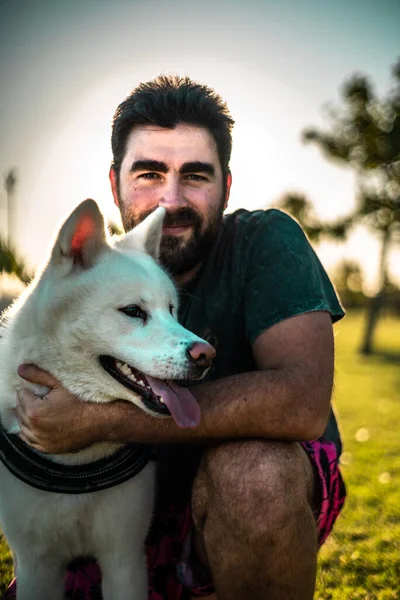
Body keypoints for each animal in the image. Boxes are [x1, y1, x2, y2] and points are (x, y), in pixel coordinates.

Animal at [0, 202, 216, 600]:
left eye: (172, 310)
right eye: (132, 311)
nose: (206, 355)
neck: (77, 463)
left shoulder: (125, 557)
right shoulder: (37, 564)